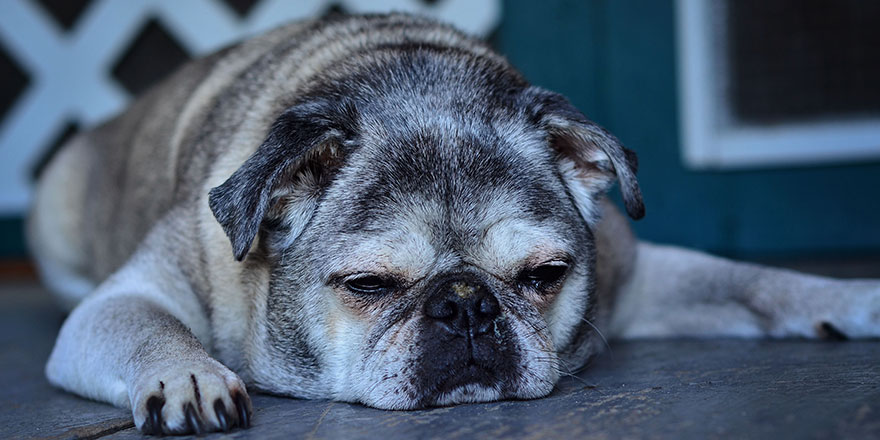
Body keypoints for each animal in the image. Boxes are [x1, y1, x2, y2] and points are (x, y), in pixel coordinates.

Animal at [27, 12, 880, 434]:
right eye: (368, 286)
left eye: (544, 277)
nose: (466, 304)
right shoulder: (127, 300)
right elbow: (148, 326)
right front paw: (191, 375)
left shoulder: (639, 277)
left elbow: (751, 280)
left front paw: (847, 299)